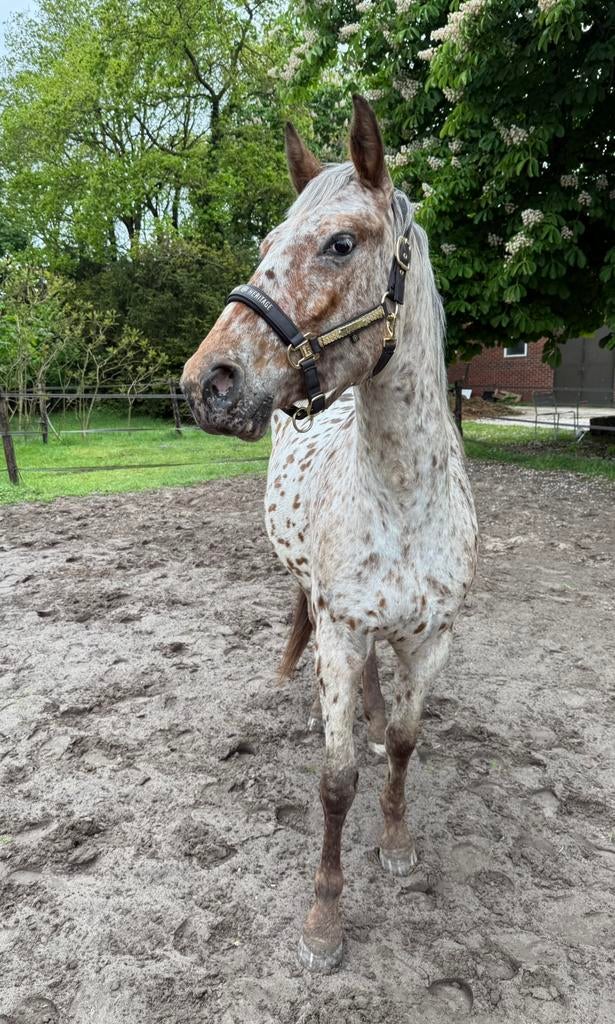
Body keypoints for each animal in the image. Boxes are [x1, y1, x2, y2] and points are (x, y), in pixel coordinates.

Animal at [181, 95, 478, 972]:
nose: (208, 382)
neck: (402, 498)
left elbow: (407, 742)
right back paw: (287, 672)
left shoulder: (431, 637)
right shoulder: (342, 633)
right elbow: (335, 780)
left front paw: (399, 844)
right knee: (299, 608)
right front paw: (324, 919)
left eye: (340, 243)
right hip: (308, 590)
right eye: (264, 246)